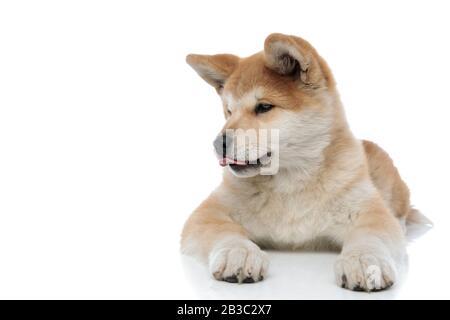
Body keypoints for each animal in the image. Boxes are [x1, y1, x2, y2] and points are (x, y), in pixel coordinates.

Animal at [179, 33, 426, 292]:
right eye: (228, 112)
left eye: (264, 107)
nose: (218, 144)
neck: (290, 182)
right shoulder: (209, 212)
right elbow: (224, 230)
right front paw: (239, 252)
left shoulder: (368, 210)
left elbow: (371, 236)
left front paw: (363, 259)